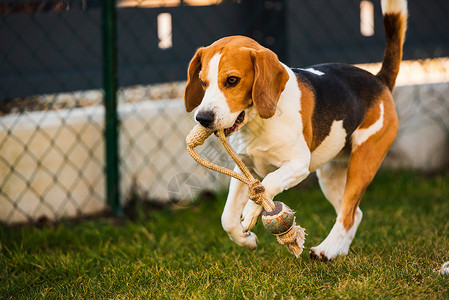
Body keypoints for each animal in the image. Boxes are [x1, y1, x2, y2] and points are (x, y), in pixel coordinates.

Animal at [184, 0, 408, 260]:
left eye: (232, 80)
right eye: (202, 82)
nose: (203, 118)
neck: (259, 123)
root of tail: (379, 80)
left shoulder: (298, 165)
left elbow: (269, 182)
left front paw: (251, 211)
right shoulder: (244, 168)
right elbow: (227, 218)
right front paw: (245, 239)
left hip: (363, 162)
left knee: (348, 213)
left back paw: (325, 249)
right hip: (330, 173)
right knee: (354, 213)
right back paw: (337, 250)